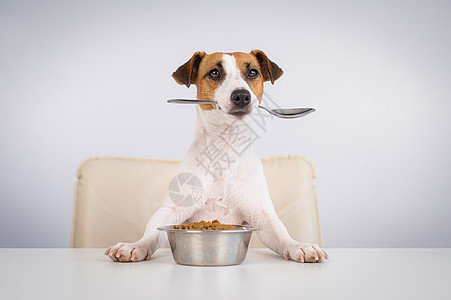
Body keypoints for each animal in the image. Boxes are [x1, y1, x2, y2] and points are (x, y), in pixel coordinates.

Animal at [105, 49, 328, 262]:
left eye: (252, 72)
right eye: (214, 72)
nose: (241, 95)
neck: (225, 147)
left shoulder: (262, 215)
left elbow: (281, 234)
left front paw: (299, 246)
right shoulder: (172, 210)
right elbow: (153, 230)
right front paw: (135, 246)